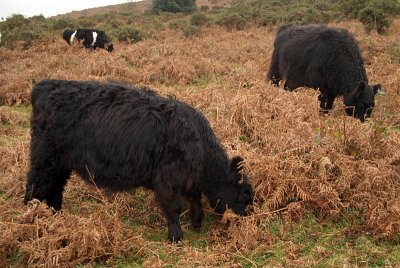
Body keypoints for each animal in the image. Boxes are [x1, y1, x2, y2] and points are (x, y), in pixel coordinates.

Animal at [24, 79, 253, 243]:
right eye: (244, 195)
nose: (246, 222)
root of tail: (46, 85)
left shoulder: (188, 179)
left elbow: (194, 198)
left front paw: (197, 222)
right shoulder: (167, 180)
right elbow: (174, 208)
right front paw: (176, 237)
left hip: (61, 164)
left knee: (55, 190)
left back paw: (58, 218)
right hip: (44, 158)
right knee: (35, 187)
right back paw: (31, 220)